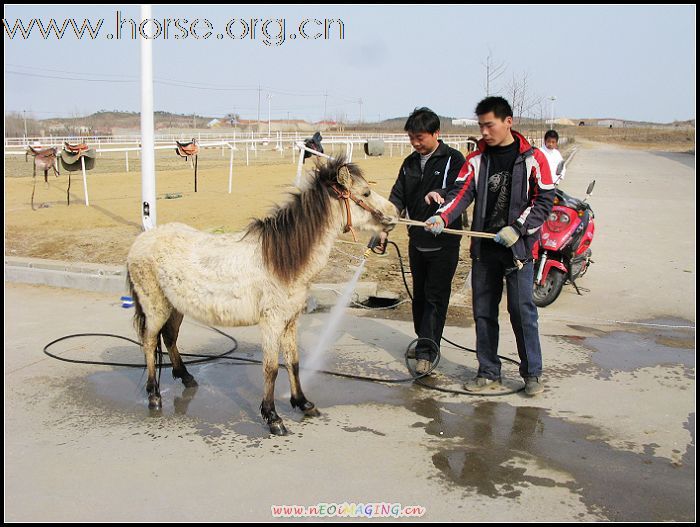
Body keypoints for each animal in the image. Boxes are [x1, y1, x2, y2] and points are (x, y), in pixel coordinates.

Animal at [128, 158, 396, 438]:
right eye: (366, 193)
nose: (395, 213)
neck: (283, 259)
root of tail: (141, 240)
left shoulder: (290, 321)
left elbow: (293, 362)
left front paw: (303, 403)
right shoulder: (272, 322)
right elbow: (271, 368)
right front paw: (273, 417)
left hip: (175, 306)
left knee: (169, 338)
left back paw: (187, 378)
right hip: (155, 307)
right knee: (149, 342)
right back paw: (154, 396)